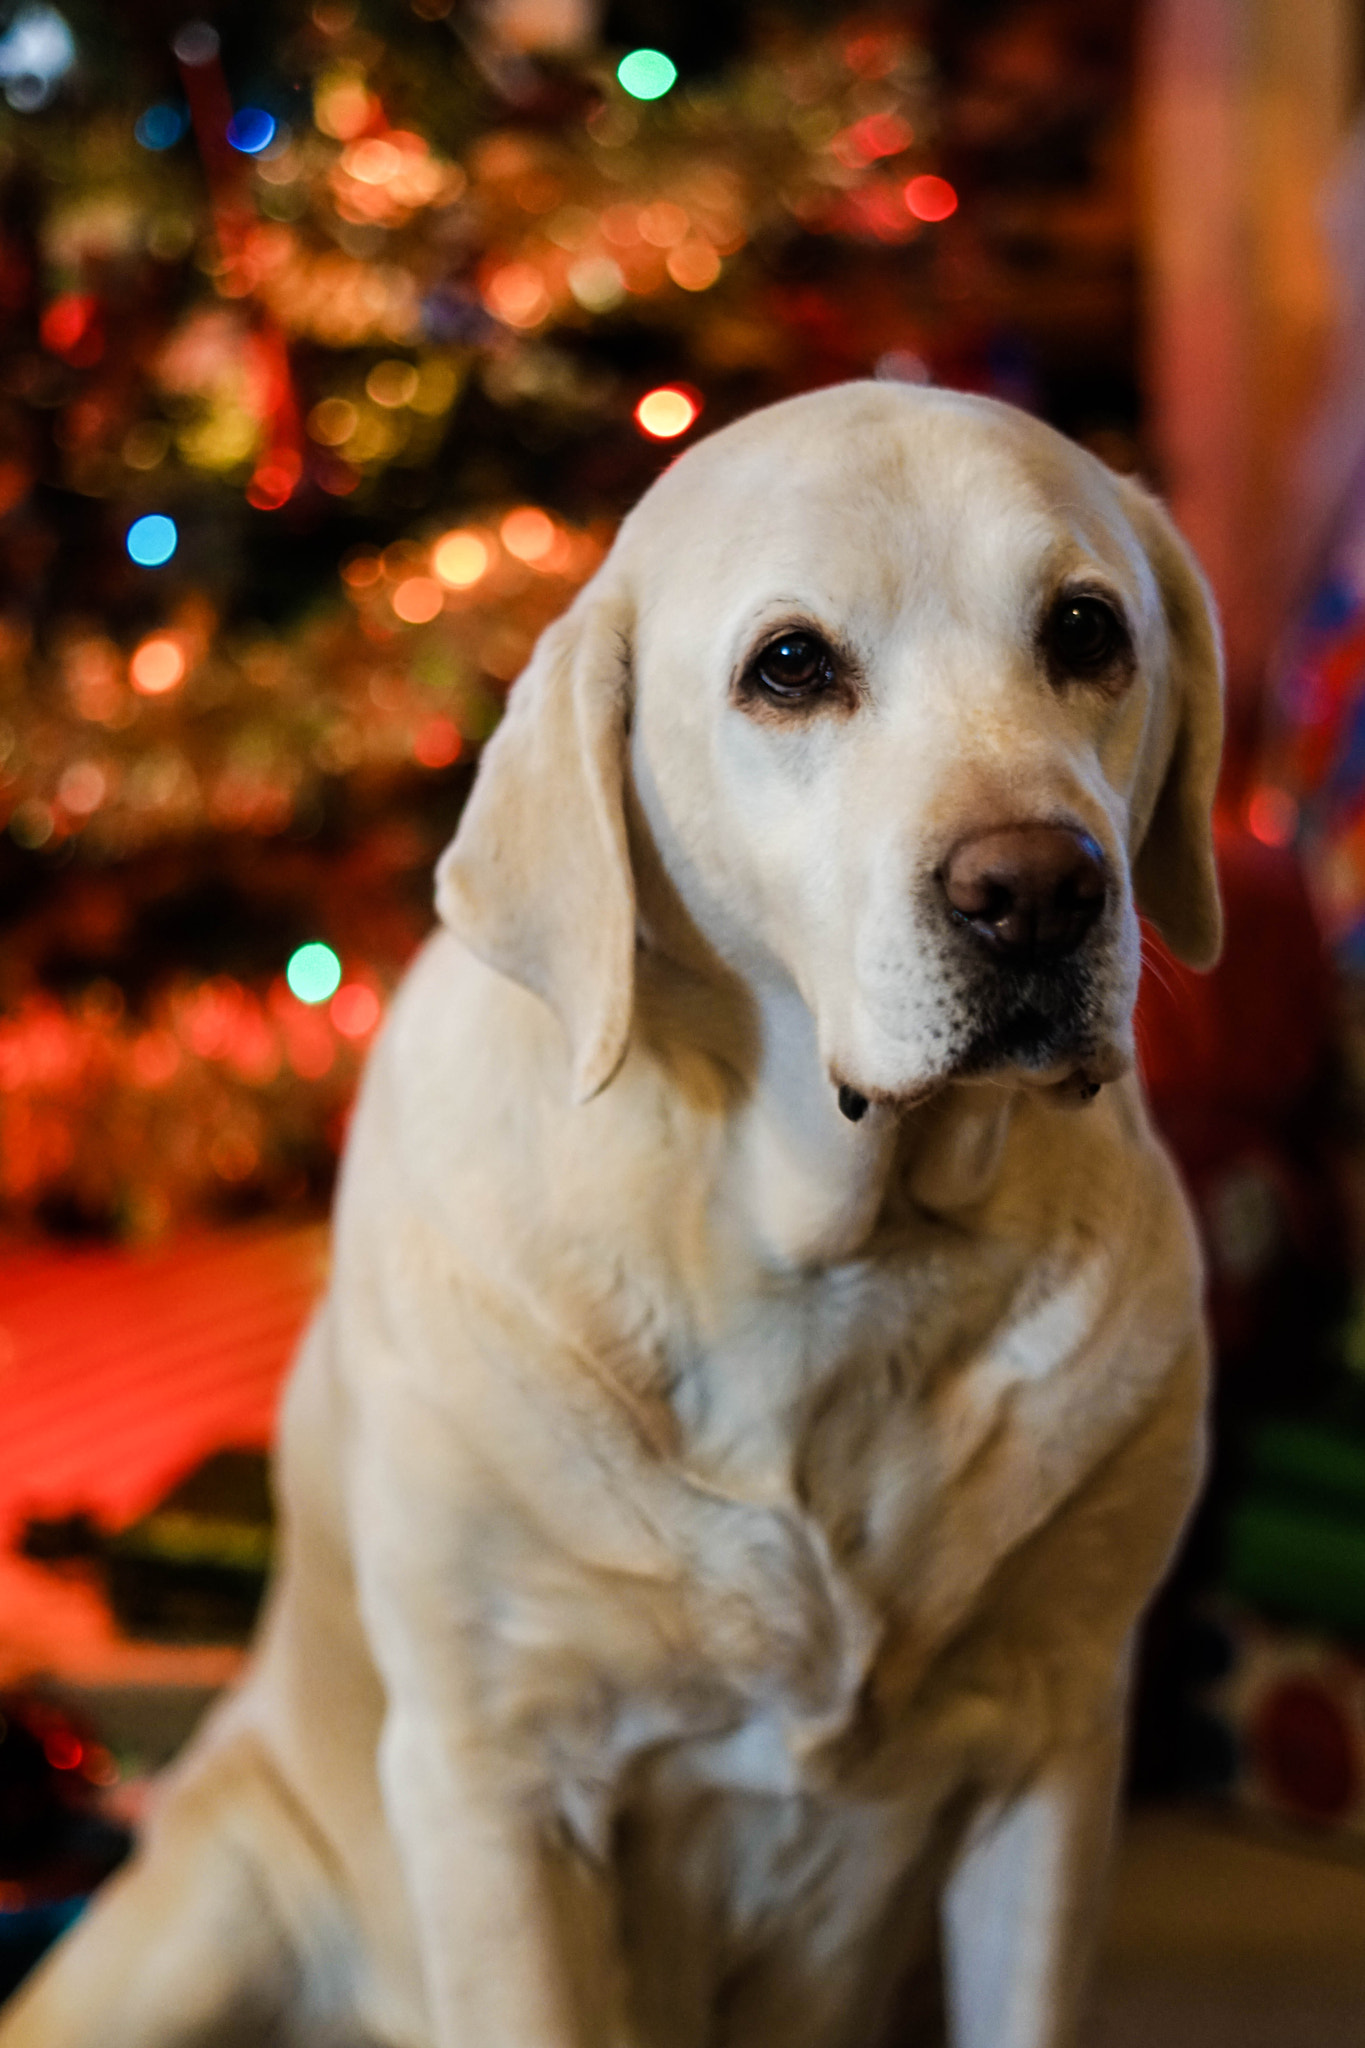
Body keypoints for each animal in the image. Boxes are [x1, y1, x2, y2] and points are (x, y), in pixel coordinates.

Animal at [0, 385, 1219, 2048]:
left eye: (1087, 629)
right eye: (791, 666)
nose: (1035, 889)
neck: (836, 1254)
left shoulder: (1055, 1746)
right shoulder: (496, 1784)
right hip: (200, 1913)